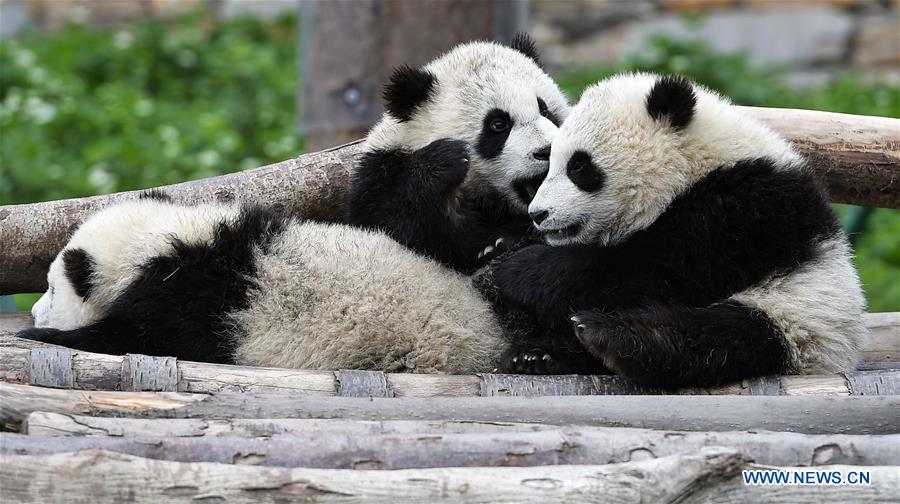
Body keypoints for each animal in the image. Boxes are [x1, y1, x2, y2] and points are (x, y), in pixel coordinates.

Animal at [346, 33, 569, 273]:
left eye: (545, 110)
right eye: (498, 124)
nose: (547, 150)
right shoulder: (382, 171)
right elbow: (390, 223)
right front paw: (443, 161)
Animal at [493, 73, 867, 388]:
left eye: (579, 166)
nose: (539, 214)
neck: (696, 163)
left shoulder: (748, 209)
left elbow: (659, 267)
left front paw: (520, 267)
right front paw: (503, 244)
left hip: (801, 320)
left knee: (716, 338)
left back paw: (607, 337)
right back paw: (538, 355)